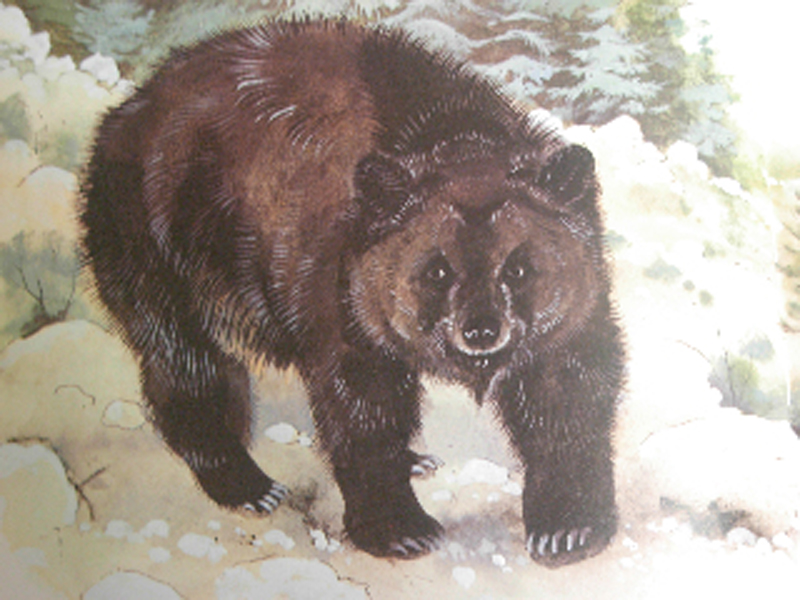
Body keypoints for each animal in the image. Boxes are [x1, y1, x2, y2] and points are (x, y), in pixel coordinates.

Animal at [80, 18, 625, 567]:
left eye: (518, 267)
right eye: (437, 270)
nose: (481, 329)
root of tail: (130, 108)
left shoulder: (570, 307)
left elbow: (567, 395)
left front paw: (568, 526)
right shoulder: (338, 287)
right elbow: (361, 405)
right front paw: (402, 529)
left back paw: (412, 458)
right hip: (159, 239)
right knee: (187, 360)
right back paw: (247, 483)